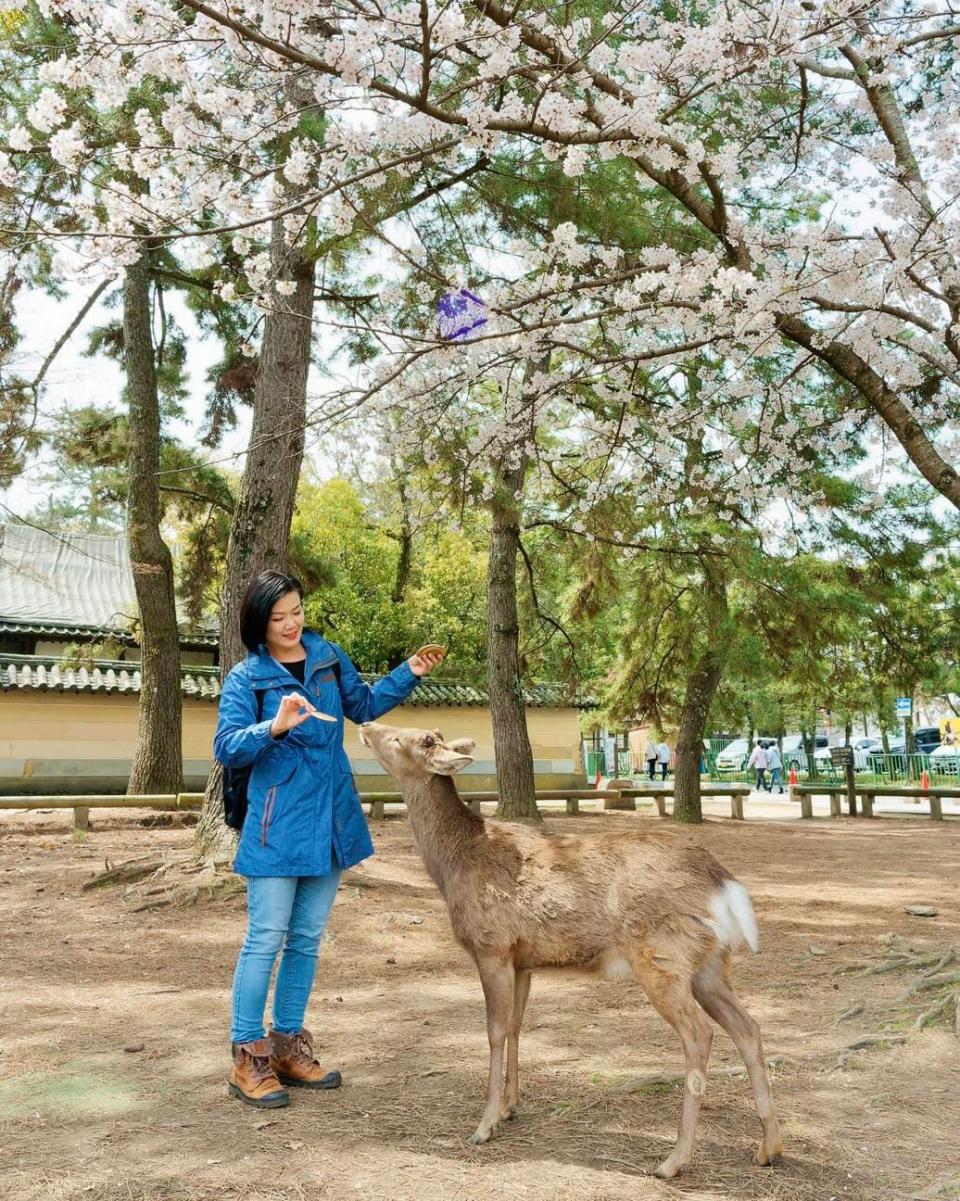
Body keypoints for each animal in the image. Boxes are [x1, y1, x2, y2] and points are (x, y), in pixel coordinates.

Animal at [355, 715, 783, 1176]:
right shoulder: (522, 959)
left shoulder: (491, 947)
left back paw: (673, 1161)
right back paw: (768, 1148)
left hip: (662, 958)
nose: (366, 723)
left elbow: (493, 1031)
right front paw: (509, 1107)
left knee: (699, 1035)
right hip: (710, 964)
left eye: (406, 739)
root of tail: (725, 886)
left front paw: (484, 1125)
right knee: (748, 1028)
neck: (453, 867)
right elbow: (516, 1025)